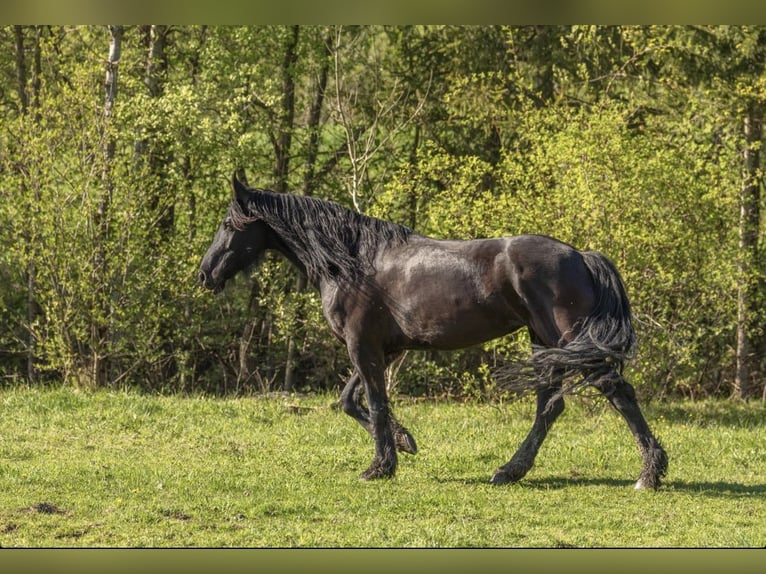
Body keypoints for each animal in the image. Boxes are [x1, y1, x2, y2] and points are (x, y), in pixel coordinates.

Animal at [198, 175, 668, 489]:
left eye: (229, 223)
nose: (204, 274)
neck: (353, 261)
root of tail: (582, 256)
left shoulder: (362, 346)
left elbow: (375, 403)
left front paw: (379, 467)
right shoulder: (381, 349)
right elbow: (350, 401)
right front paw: (405, 443)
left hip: (571, 344)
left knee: (618, 393)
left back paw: (649, 475)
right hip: (543, 343)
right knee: (549, 408)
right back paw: (509, 471)